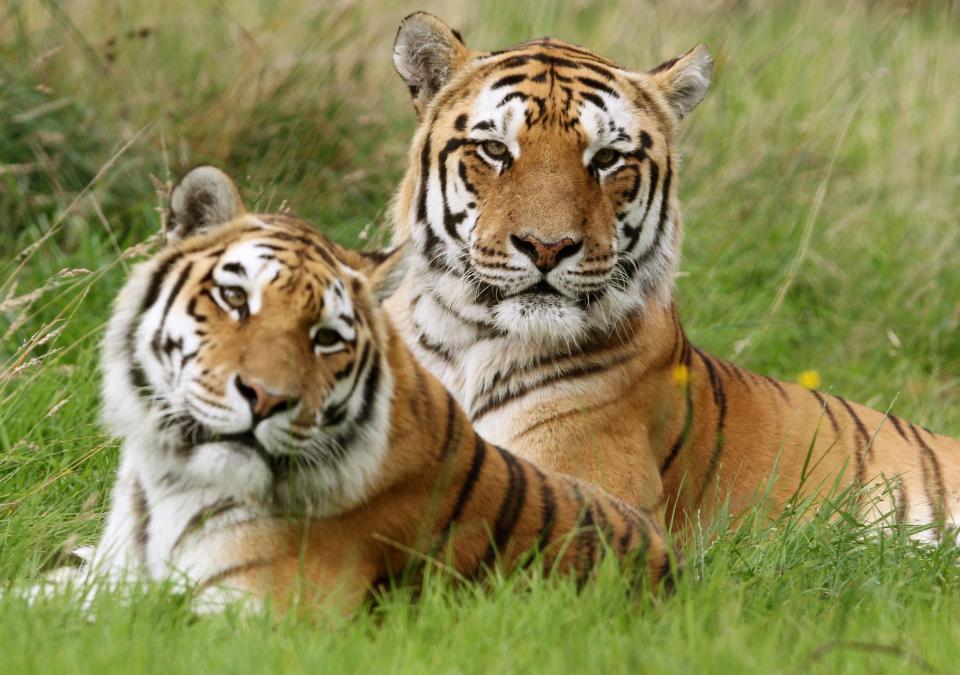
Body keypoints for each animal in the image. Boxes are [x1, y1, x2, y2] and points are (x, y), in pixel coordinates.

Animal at [31, 168, 676, 612]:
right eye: (235, 298)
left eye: (326, 339)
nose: (264, 398)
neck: (170, 478)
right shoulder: (106, 575)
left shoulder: (259, 616)